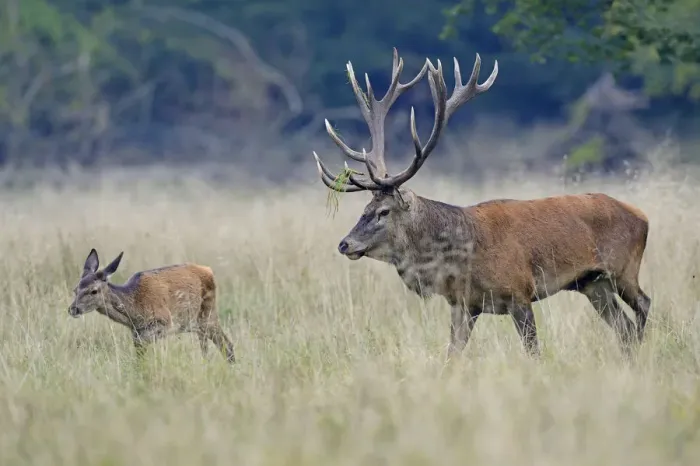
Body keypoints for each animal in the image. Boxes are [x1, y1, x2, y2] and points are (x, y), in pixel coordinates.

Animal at [68, 249, 236, 364]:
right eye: (75, 289)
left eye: (93, 290)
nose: (73, 309)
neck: (135, 309)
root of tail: (209, 270)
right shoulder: (136, 332)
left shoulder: (164, 321)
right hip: (198, 324)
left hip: (208, 314)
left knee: (227, 345)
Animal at [312, 48, 651, 360]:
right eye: (364, 210)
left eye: (383, 212)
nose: (344, 243)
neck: (462, 259)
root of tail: (642, 216)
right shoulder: (463, 304)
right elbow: (452, 355)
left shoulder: (520, 292)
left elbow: (534, 352)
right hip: (593, 284)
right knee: (623, 327)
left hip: (623, 269)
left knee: (643, 305)